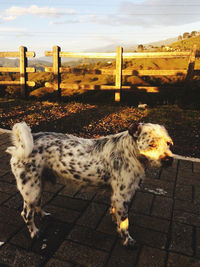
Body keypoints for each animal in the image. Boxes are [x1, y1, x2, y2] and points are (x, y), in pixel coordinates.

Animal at [5, 122, 173, 248]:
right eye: (151, 144)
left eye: (168, 143)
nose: (169, 160)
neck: (129, 152)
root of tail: (19, 147)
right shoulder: (122, 197)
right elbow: (125, 224)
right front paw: (127, 240)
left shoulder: (116, 197)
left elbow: (115, 214)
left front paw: (115, 221)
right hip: (30, 189)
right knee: (26, 214)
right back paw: (34, 232)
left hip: (39, 184)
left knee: (37, 205)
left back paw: (43, 215)